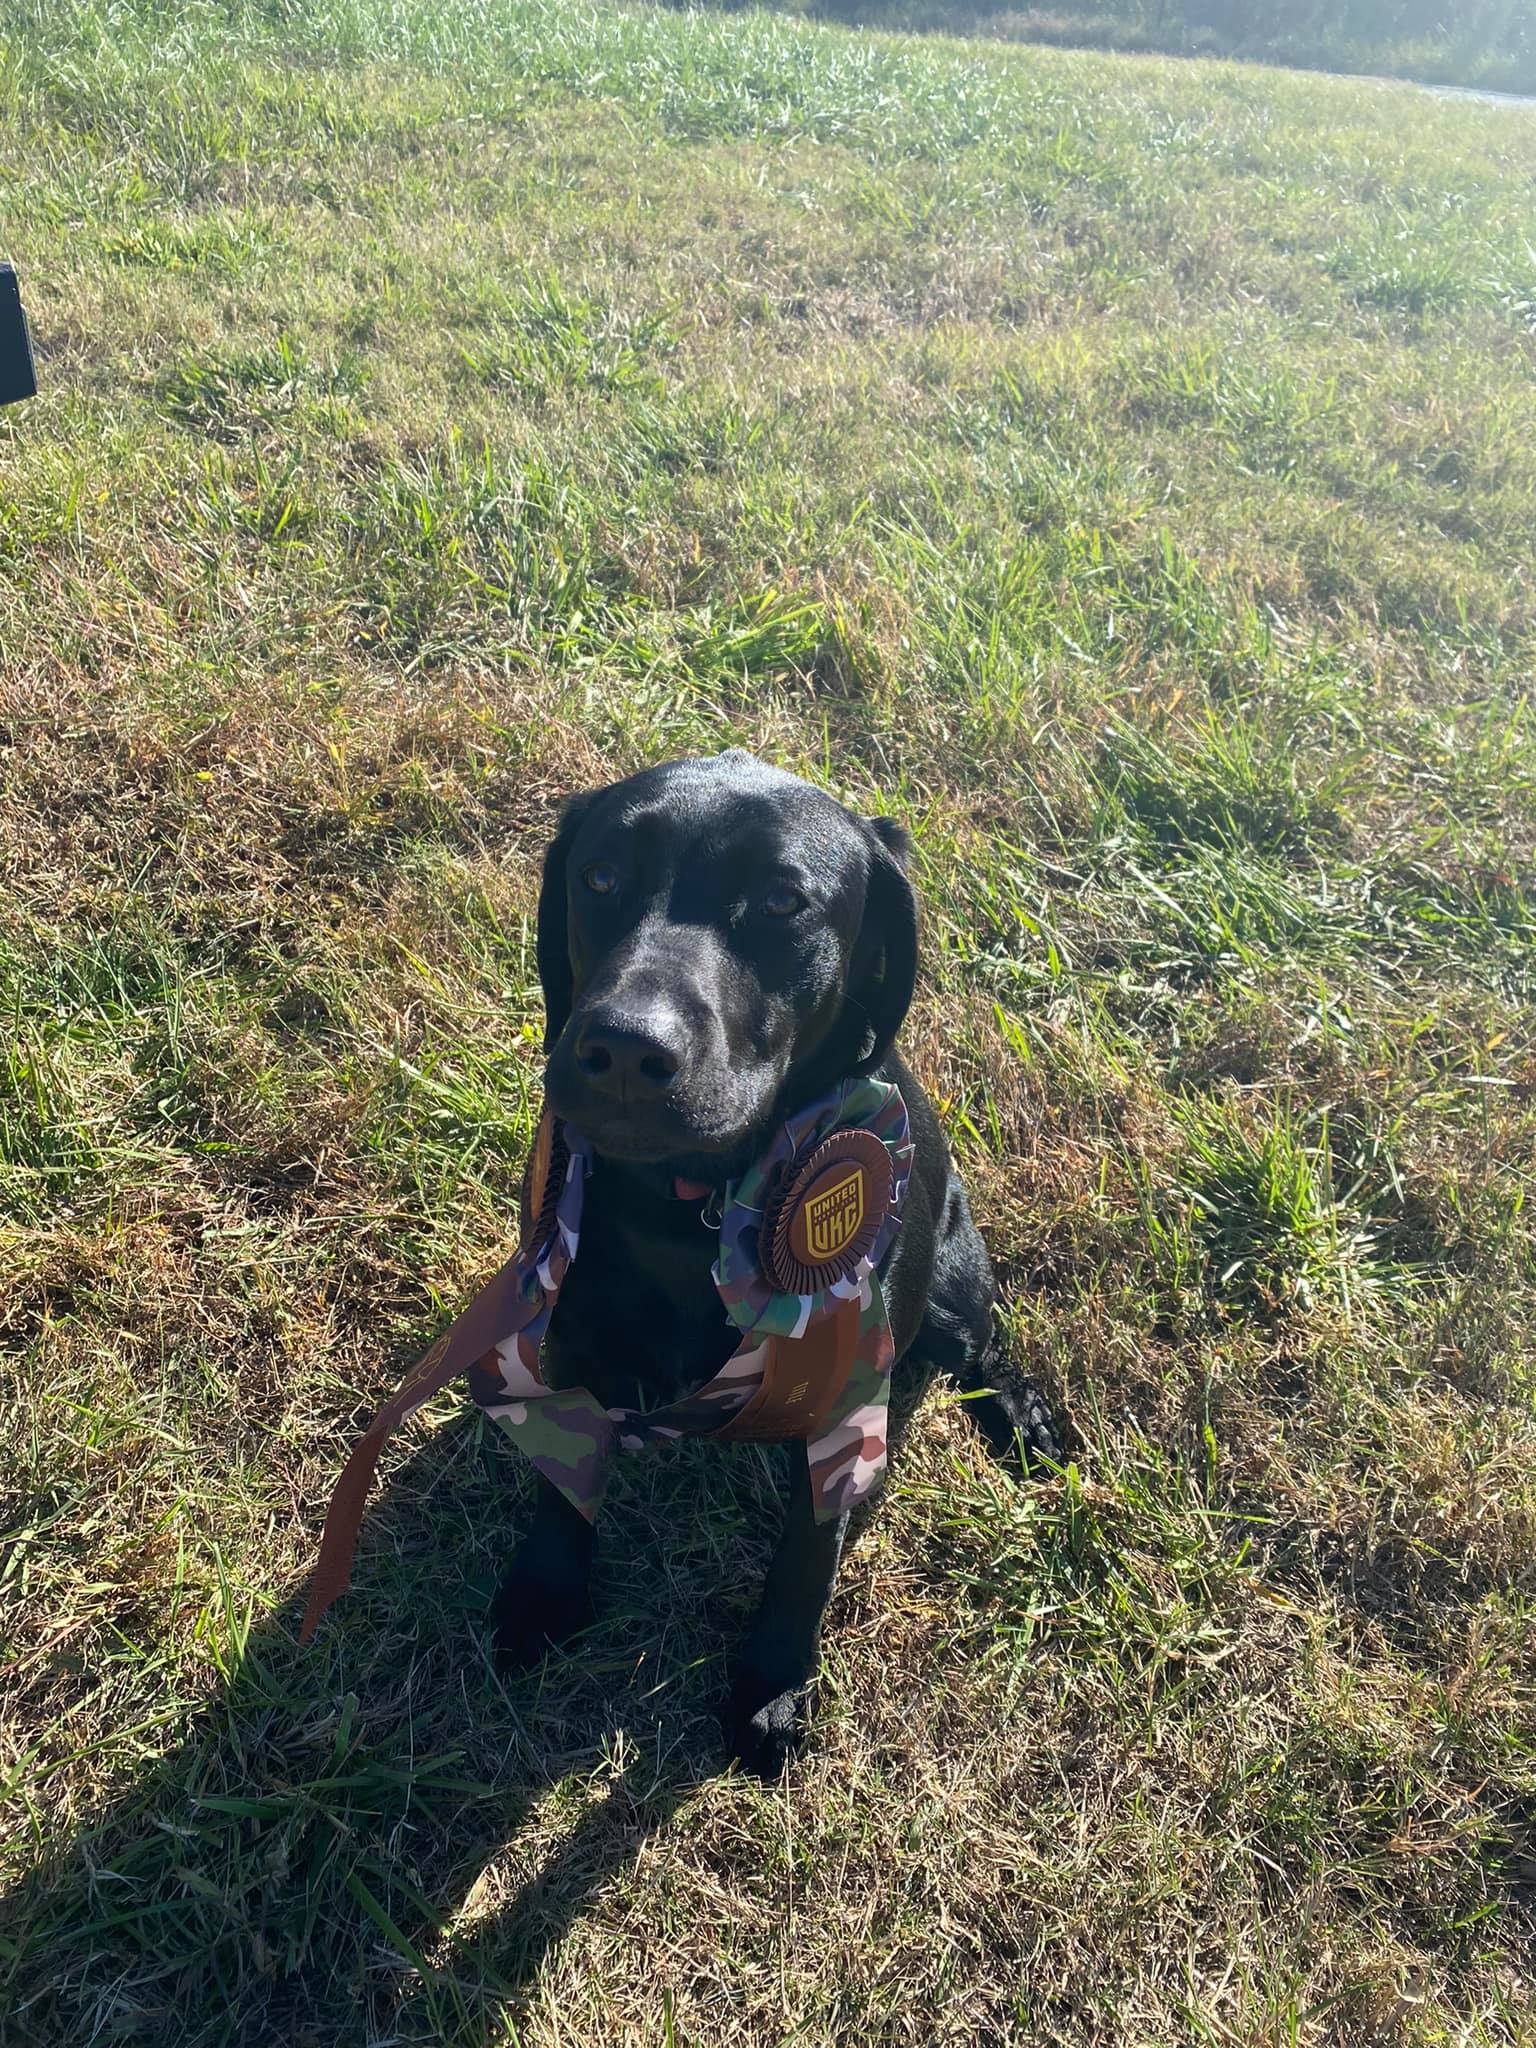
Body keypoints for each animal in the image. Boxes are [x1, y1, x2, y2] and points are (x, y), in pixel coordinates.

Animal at [493, 753, 1056, 1777]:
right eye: (599, 878)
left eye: (783, 900)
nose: (622, 1048)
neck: (696, 1210)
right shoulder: (574, 1347)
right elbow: (563, 1485)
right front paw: (547, 1593)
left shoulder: (844, 1401)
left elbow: (807, 1555)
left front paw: (773, 1684)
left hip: (954, 1294)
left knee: (986, 1348)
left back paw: (1025, 1419)